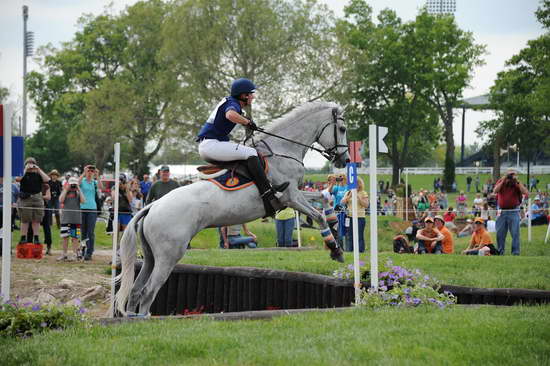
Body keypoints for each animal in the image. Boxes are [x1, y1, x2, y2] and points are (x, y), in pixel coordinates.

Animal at [115, 101, 350, 316]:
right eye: (342, 129)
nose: (345, 160)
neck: (283, 151)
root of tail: (151, 207)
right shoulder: (290, 196)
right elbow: (318, 215)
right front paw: (335, 249)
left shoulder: (293, 196)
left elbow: (323, 198)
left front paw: (336, 225)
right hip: (169, 255)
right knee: (148, 292)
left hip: (151, 256)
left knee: (135, 291)